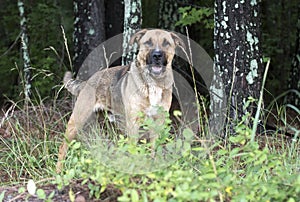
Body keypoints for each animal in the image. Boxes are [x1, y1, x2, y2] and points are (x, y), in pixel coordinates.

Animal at [55, 29, 184, 173]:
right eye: (148, 42)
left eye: (166, 43)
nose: (157, 55)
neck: (153, 83)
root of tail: (86, 82)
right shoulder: (133, 123)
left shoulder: (158, 121)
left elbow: (153, 149)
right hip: (76, 121)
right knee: (63, 147)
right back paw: (58, 172)